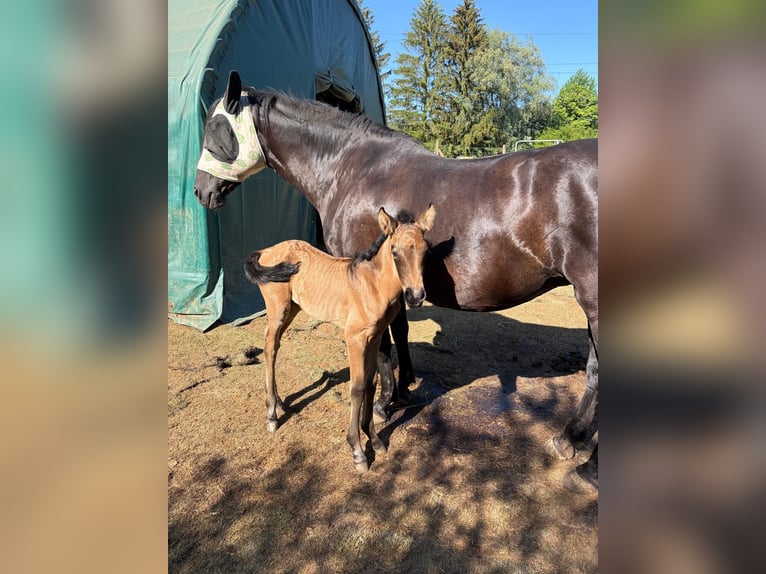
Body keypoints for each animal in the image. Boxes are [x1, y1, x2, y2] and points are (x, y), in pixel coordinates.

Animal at [244, 205, 436, 472]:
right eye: (395, 252)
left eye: (425, 251)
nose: (415, 296)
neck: (372, 285)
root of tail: (267, 250)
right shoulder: (354, 338)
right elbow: (357, 388)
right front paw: (357, 451)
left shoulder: (375, 336)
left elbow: (371, 383)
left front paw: (374, 439)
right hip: (277, 309)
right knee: (270, 348)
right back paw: (272, 414)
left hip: (292, 309)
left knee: (275, 346)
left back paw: (280, 403)